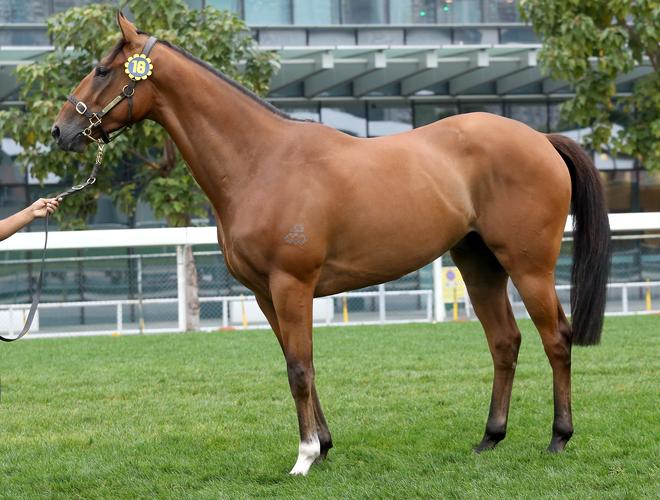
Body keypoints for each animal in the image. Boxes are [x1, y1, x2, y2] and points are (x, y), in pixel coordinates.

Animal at [52, 12, 610, 476]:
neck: (261, 161)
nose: (62, 130)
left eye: (101, 70)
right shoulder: (265, 294)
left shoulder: (291, 284)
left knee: (556, 338)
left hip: (528, 265)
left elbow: (299, 368)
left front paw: (304, 457)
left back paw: (559, 438)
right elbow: (301, 364)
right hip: (477, 263)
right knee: (504, 342)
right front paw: (322, 446)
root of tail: (541, 139)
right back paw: (490, 438)